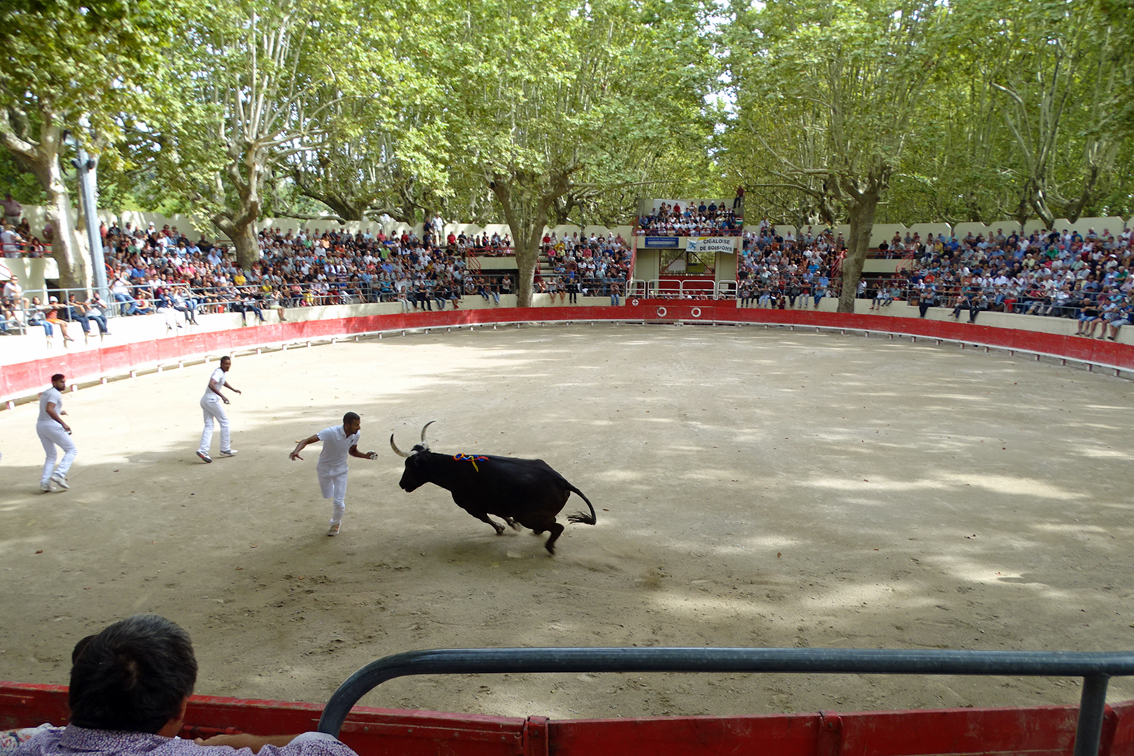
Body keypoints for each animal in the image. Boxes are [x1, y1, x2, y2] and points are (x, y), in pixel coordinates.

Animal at [390, 428, 598, 553]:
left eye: (409, 466)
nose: (401, 484)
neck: (453, 469)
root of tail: (561, 480)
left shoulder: (471, 506)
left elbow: (486, 518)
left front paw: (501, 528)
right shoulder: (493, 502)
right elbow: (499, 513)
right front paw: (511, 525)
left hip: (528, 515)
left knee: (557, 526)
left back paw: (549, 547)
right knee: (552, 523)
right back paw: (539, 533)